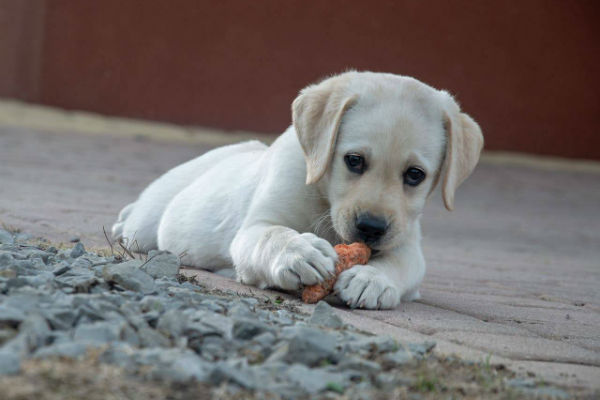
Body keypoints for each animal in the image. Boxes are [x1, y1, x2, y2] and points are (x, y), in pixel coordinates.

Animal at [112, 71, 482, 310]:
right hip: (147, 224)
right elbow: (273, 235)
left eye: (415, 175)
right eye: (354, 161)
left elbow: (400, 264)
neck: (324, 198)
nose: (371, 228)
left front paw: (372, 279)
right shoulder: (254, 228)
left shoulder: (407, 243)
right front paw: (299, 252)